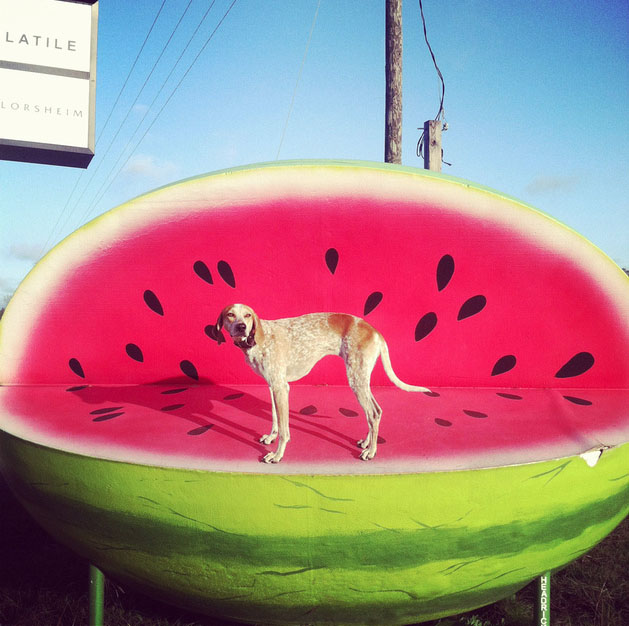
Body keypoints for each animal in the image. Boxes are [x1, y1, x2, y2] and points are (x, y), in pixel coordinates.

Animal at [213, 304, 430, 460]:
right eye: (230, 314)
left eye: (247, 315)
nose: (241, 327)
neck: (258, 339)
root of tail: (374, 331)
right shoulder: (273, 386)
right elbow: (275, 419)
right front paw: (271, 437)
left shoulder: (281, 388)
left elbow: (284, 430)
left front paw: (277, 454)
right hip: (361, 378)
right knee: (375, 412)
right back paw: (367, 443)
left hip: (356, 379)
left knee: (373, 413)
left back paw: (372, 451)